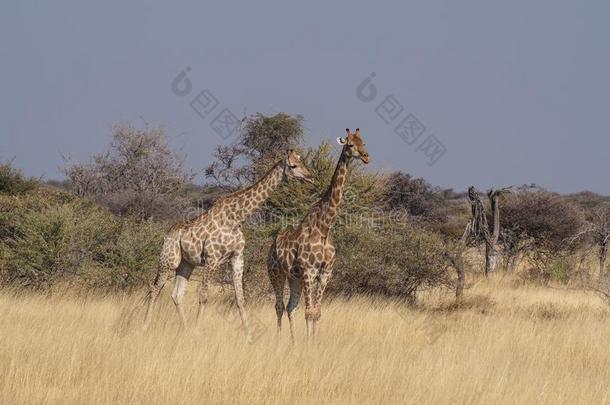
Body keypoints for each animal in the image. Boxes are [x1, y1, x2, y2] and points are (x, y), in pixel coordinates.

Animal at [142, 148, 312, 334]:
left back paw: (184, 328)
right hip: (169, 260)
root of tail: (169, 232)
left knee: (176, 294)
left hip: (187, 264)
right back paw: (146, 325)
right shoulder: (212, 259)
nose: (309, 176)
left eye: (302, 161)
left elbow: (240, 298)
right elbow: (203, 296)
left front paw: (248, 334)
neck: (235, 218)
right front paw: (197, 331)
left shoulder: (237, 257)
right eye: (293, 165)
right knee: (155, 289)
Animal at [264, 129, 366, 338]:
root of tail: (272, 246)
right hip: (276, 272)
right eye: (350, 144)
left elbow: (317, 312)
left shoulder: (326, 273)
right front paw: (309, 342)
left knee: (290, 307)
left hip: (293, 278)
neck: (324, 227)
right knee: (279, 306)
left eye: (364, 142)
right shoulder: (309, 272)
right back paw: (279, 340)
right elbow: (309, 312)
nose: (366, 157)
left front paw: (314, 341)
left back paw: (293, 341)